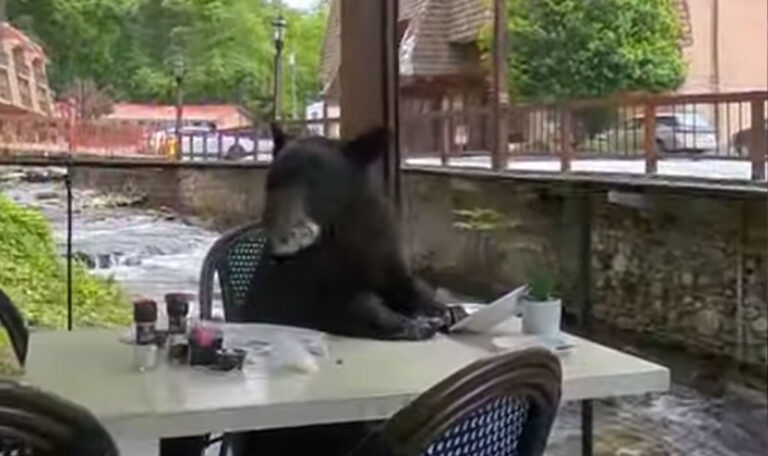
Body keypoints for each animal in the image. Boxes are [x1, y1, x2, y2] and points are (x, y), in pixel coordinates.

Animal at [242, 124, 466, 340]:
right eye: (272, 182)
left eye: (315, 182)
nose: (282, 239)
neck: (342, 229)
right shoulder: (308, 288)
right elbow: (348, 304)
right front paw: (412, 324)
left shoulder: (383, 250)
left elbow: (411, 286)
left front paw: (445, 310)